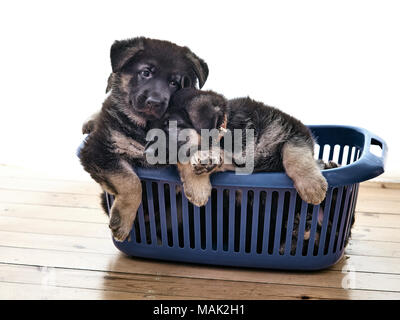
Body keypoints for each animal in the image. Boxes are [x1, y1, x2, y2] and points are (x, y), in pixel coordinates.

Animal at [79, 37, 209, 241]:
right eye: (145, 73)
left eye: (174, 83)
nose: (154, 102)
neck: (147, 126)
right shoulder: (98, 150)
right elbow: (131, 181)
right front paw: (123, 221)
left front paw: (199, 187)